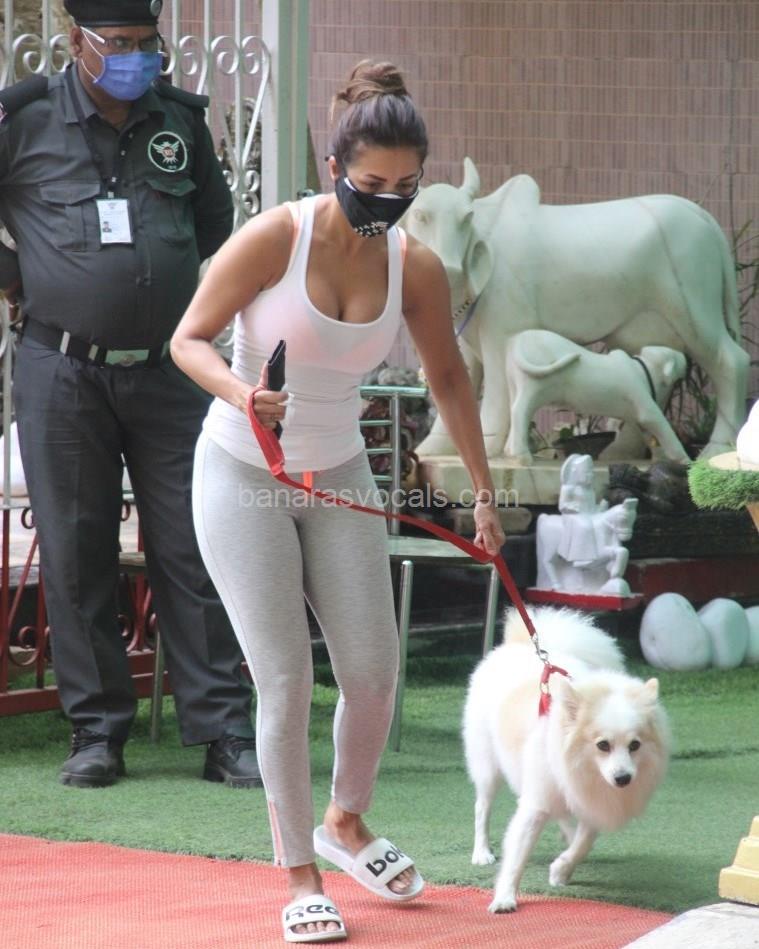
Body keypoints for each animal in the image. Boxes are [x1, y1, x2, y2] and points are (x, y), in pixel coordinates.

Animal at [462, 606, 670, 913]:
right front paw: (505, 898)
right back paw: (482, 852)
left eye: (635, 745)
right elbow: (517, 856)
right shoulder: (536, 803)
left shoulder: (591, 801)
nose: (623, 778)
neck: (580, 767)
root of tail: (518, 645)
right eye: (603, 745)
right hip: (488, 767)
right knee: (482, 808)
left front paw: (561, 869)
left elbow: (584, 842)